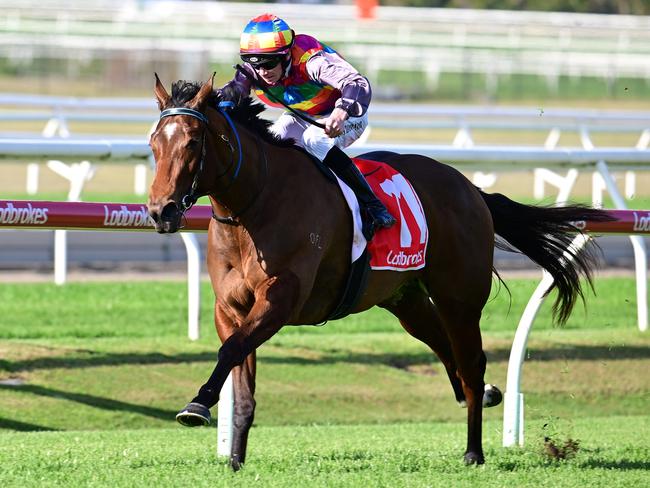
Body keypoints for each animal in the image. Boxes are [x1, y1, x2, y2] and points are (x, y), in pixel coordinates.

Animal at [146, 75, 608, 468]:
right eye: (153, 143)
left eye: (191, 143)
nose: (160, 210)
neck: (254, 204)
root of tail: (470, 188)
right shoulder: (231, 308)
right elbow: (239, 373)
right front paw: (235, 459)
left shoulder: (280, 300)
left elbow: (230, 351)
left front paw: (197, 405)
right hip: (404, 299)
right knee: (445, 348)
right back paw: (482, 395)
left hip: (460, 297)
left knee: (471, 360)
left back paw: (474, 450)